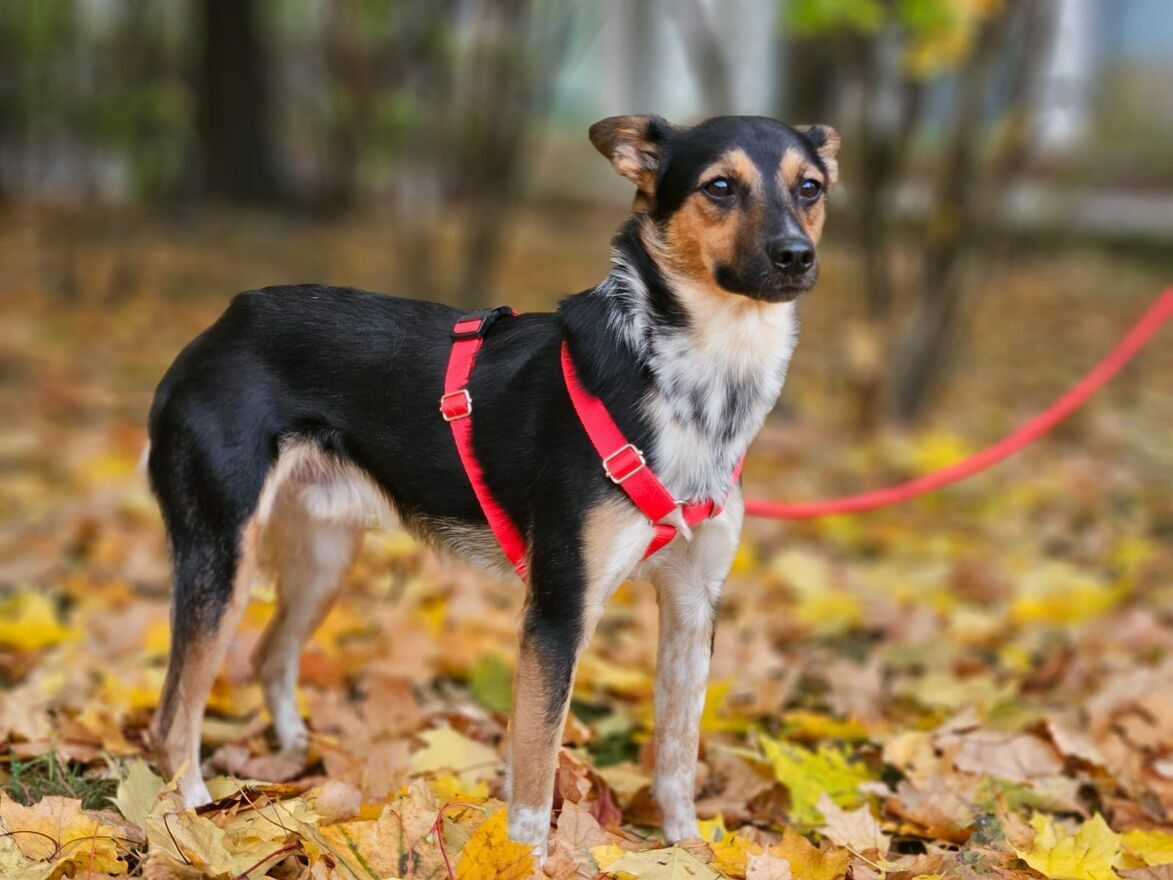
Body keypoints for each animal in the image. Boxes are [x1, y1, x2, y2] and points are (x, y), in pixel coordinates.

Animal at [146, 114, 839, 858]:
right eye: (719, 187)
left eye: (809, 187)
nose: (795, 256)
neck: (694, 382)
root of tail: (221, 326)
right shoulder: (558, 612)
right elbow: (535, 776)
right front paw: (526, 860)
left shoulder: (692, 603)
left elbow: (678, 756)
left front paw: (688, 853)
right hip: (224, 555)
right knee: (175, 713)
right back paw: (192, 821)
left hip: (322, 559)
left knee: (269, 656)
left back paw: (299, 756)